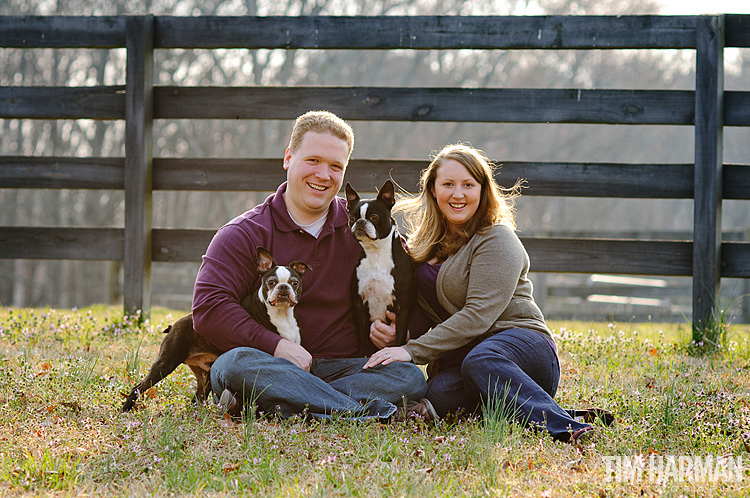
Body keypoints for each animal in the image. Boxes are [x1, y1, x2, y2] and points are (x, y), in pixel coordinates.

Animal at [122, 246, 310, 412]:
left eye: (294, 282)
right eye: (271, 282)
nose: (284, 287)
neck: (282, 314)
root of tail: (174, 325)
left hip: (205, 377)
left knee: (197, 397)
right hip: (166, 362)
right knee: (138, 386)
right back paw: (126, 408)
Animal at [346, 181, 418, 356]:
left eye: (374, 217)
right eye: (352, 218)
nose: (360, 222)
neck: (376, 253)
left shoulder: (402, 307)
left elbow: (399, 336)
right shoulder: (359, 304)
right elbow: (362, 337)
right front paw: (360, 355)